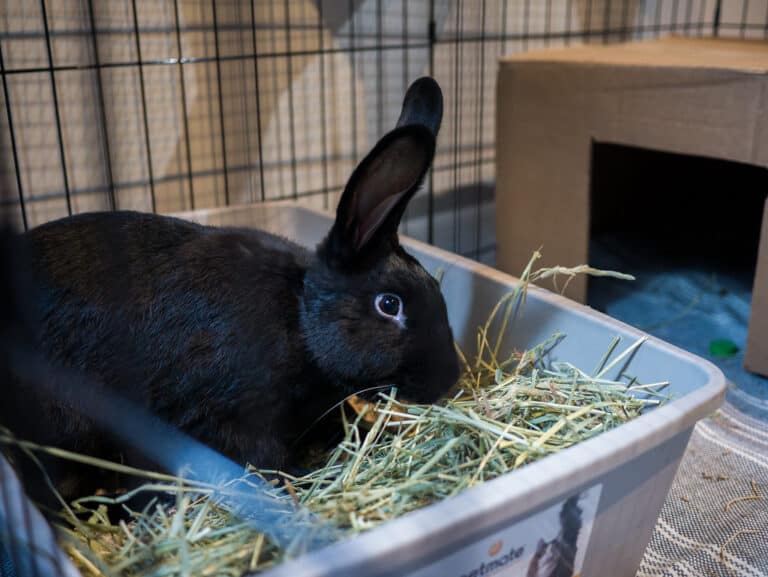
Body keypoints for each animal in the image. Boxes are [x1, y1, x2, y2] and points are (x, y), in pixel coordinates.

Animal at [1, 77, 459, 502]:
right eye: (389, 304)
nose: (451, 379)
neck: (298, 318)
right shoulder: (236, 418)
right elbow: (271, 461)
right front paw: (307, 480)